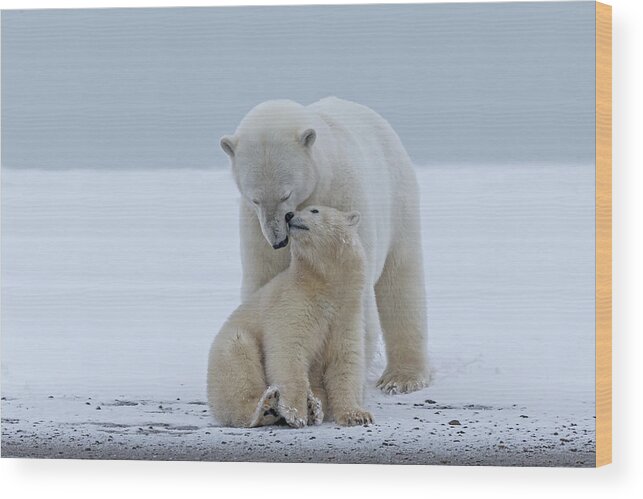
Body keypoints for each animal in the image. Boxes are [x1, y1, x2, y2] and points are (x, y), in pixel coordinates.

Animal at [223, 96, 432, 394]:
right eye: (255, 198)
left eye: (285, 193)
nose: (279, 240)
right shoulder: (254, 226)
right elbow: (265, 286)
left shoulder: (342, 198)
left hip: (399, 199)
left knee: (401, 281)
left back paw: (402, 378)